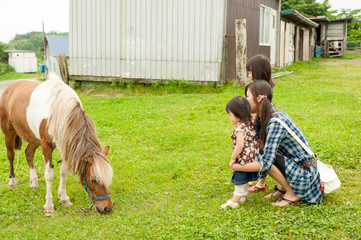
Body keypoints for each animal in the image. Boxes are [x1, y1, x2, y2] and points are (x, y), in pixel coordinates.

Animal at [0, 73, 112, 214]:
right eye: (93, 179)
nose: (107, 207)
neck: (60, 109)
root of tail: (9, 87)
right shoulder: (46, 146)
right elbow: (49, 175)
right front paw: (49, 205)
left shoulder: (66, 145)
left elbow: (63, 172)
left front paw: (64, 198)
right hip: (9, 134)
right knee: (11, 156)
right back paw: (12, 182)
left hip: (34, 138)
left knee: (28, 153)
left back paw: (34, 182)